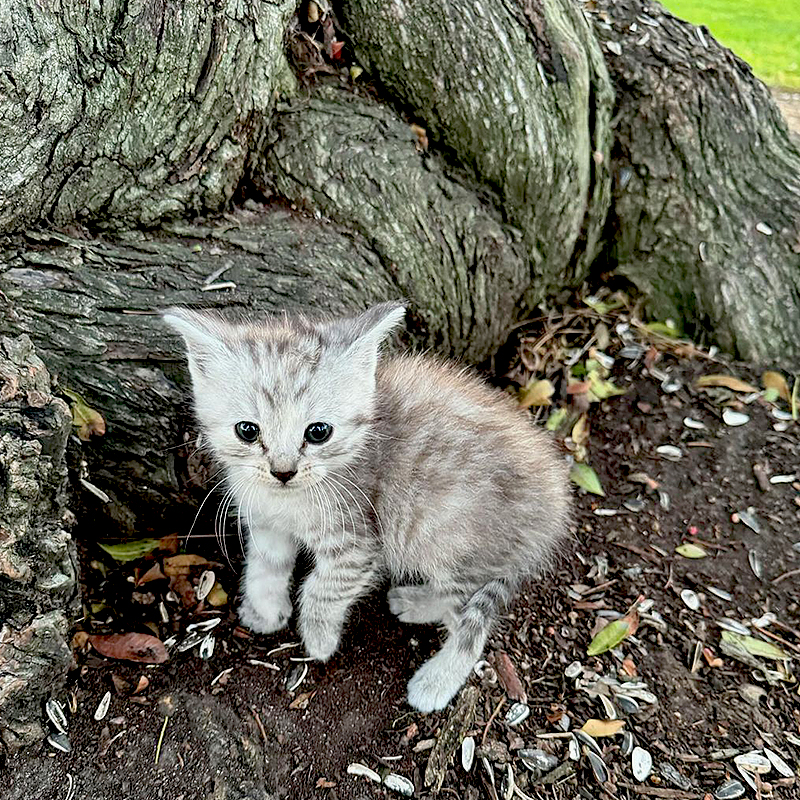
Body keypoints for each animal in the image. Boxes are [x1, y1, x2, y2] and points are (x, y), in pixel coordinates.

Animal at [166, 302, 572, 712]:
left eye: (318, 432)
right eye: (247, 431)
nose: (283, 471)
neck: (287, 500)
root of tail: (555, 503)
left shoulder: (358, 543)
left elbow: (323, 588)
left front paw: (319, 636)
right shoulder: (266, 522)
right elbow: (266, 563)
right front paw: (264, 608)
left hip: (440, 533)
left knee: (470, 620)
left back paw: (435, 677)